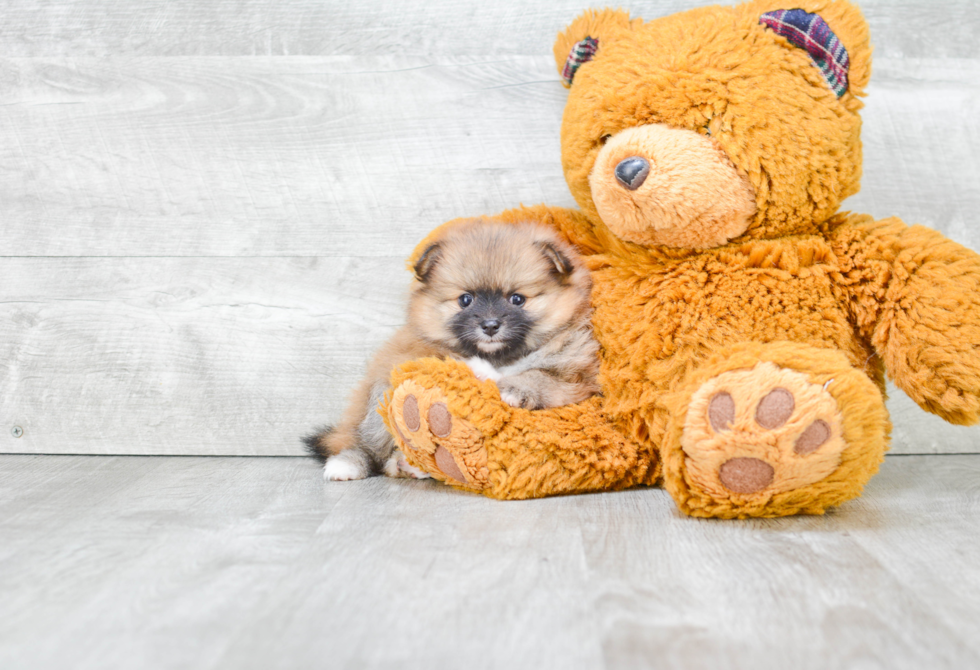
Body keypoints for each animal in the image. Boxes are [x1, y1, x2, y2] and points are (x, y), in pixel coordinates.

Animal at [304, 220, 596, 484]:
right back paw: (351, 464)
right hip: (378, 395)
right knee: (368, 444)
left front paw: (512, 388)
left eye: (517, 299)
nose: (490, 325)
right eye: (465, 300)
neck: (500, 357)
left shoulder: (578, 381)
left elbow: (538, 376)